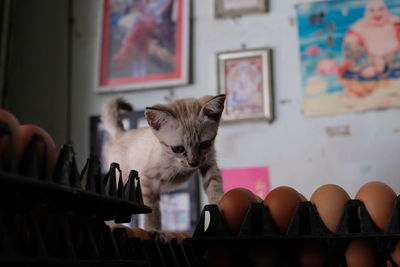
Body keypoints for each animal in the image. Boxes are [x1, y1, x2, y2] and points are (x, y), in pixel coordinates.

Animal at [101, 95, 227, 236]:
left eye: (205, 144)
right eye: (177, 148)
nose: (193, 163)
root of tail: (121, 133)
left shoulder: (209, 163)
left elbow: (214, 185)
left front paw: (218, 203)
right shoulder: (148, 180)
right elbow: (152, 209)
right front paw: (153, 229)